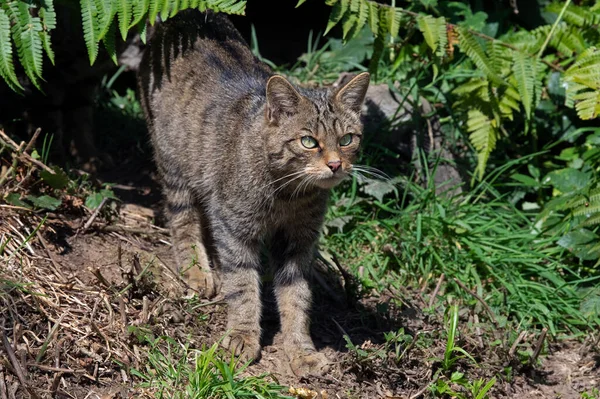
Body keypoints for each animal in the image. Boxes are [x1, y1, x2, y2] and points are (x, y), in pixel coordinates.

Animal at [138, 10, 368, 376]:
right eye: (308, 141)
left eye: (347, 139)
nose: (335, 165)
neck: (288, 194)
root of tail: (185, 14)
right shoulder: (235, 230)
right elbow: (243, 286)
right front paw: (242, 337)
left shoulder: (298, 242)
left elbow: (297, 297)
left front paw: (300, 349)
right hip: (174, 165)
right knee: (182, 219)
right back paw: (197, 269)